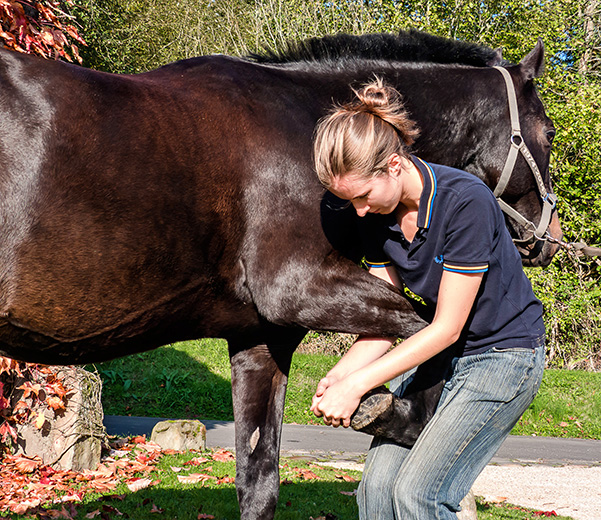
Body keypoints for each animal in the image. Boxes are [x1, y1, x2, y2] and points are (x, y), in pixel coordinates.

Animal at [2, 31, 560, 520]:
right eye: (550, 133)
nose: (549, 240)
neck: (305, 128)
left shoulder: (261, 339)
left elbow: (258, 482)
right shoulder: (296, 289)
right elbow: (434, 333)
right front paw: (387, 412)